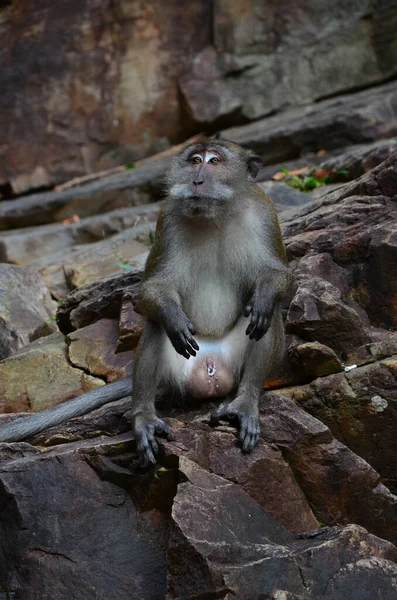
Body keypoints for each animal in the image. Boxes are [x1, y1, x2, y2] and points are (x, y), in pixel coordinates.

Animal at [0, 138, 290, 466]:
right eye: (195, 160)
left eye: (214, 162)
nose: (197, 180)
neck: (216, 215)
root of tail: (211, 367)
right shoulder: (167, 218)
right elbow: (153, 289)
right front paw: (172, 316)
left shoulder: (265, 213)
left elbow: (280, 278)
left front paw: (265, 294)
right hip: (176, 372)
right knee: (156, 325)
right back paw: (145, 416)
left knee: (266, 317)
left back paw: (245, 402)